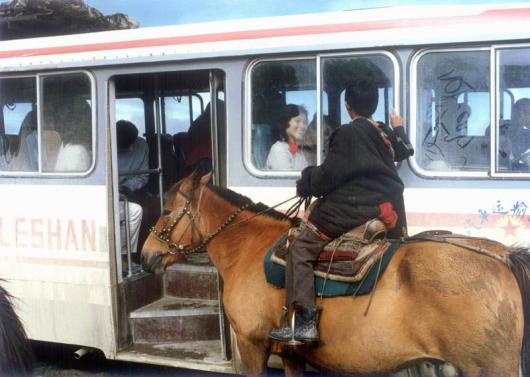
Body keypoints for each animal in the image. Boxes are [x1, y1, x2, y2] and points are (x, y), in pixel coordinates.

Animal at [140, 171, 528, 376]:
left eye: (166, 209)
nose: (146, 255)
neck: (248, 248)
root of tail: (502, 256)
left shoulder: (252, 345)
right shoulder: (292, 354)